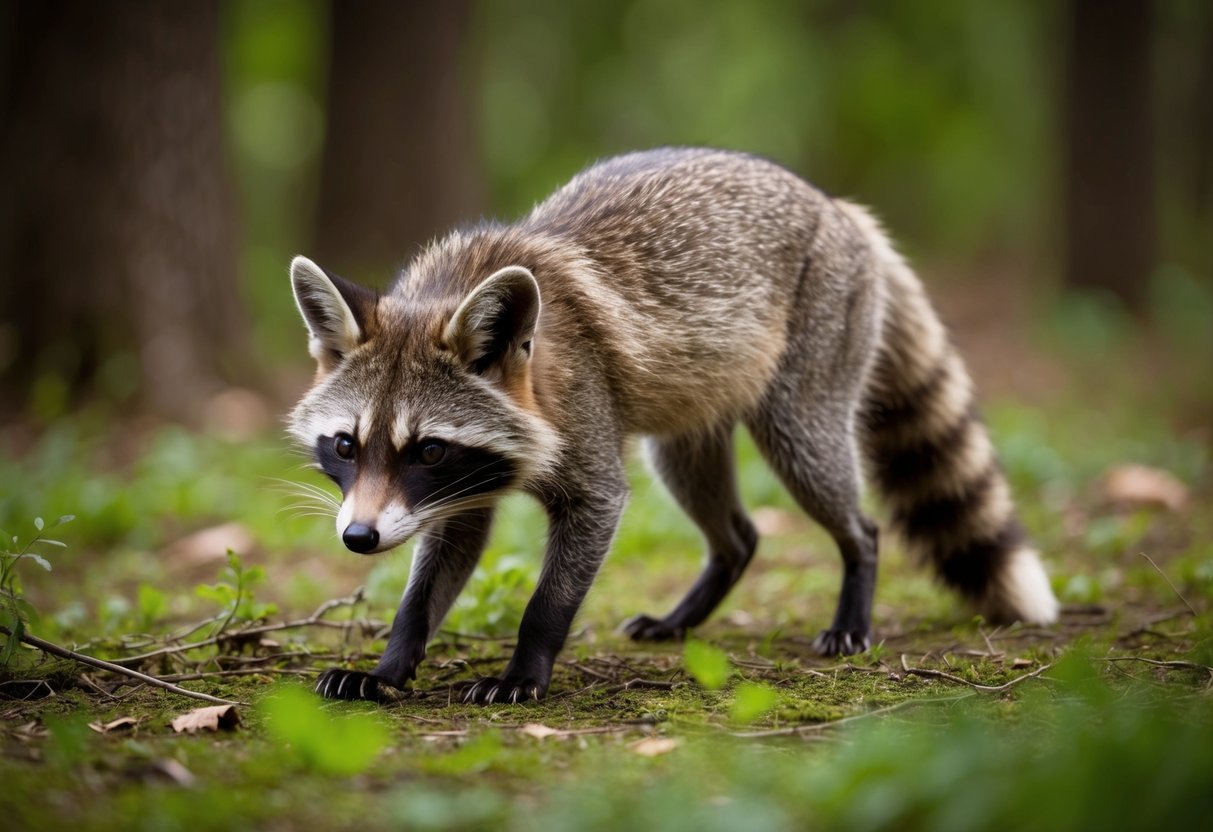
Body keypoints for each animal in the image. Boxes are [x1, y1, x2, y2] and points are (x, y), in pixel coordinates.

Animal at [288, 147, 1059, 704]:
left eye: (427, 449)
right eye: (347, 445)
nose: (358, 539)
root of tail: (836, 207)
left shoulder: (581, 421)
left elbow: (576, 547)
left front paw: (527, 660)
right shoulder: (460, 489)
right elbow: (444, 558)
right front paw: (394, 657)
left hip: (810, 370)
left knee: (828, 478)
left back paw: (855, 574)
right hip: (691, 419)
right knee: (730, 525)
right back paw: (703, 589)